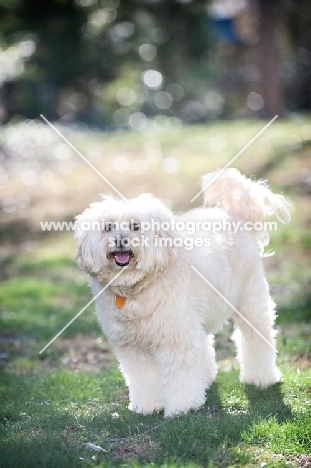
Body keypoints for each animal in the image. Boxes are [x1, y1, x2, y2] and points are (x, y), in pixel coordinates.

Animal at [75, 168, 292, 416]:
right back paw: (205, 379)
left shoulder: (175, 337)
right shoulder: (133, 346)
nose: (120, 240)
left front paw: (183, 407)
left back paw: (261, 378)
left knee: (256, 338)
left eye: (135, 226)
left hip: (250, 301)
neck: (136, 289)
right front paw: (146, 406)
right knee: (205, 342)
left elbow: (180, 375)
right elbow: (143, 379)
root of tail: (236, 216)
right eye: (108, 227)